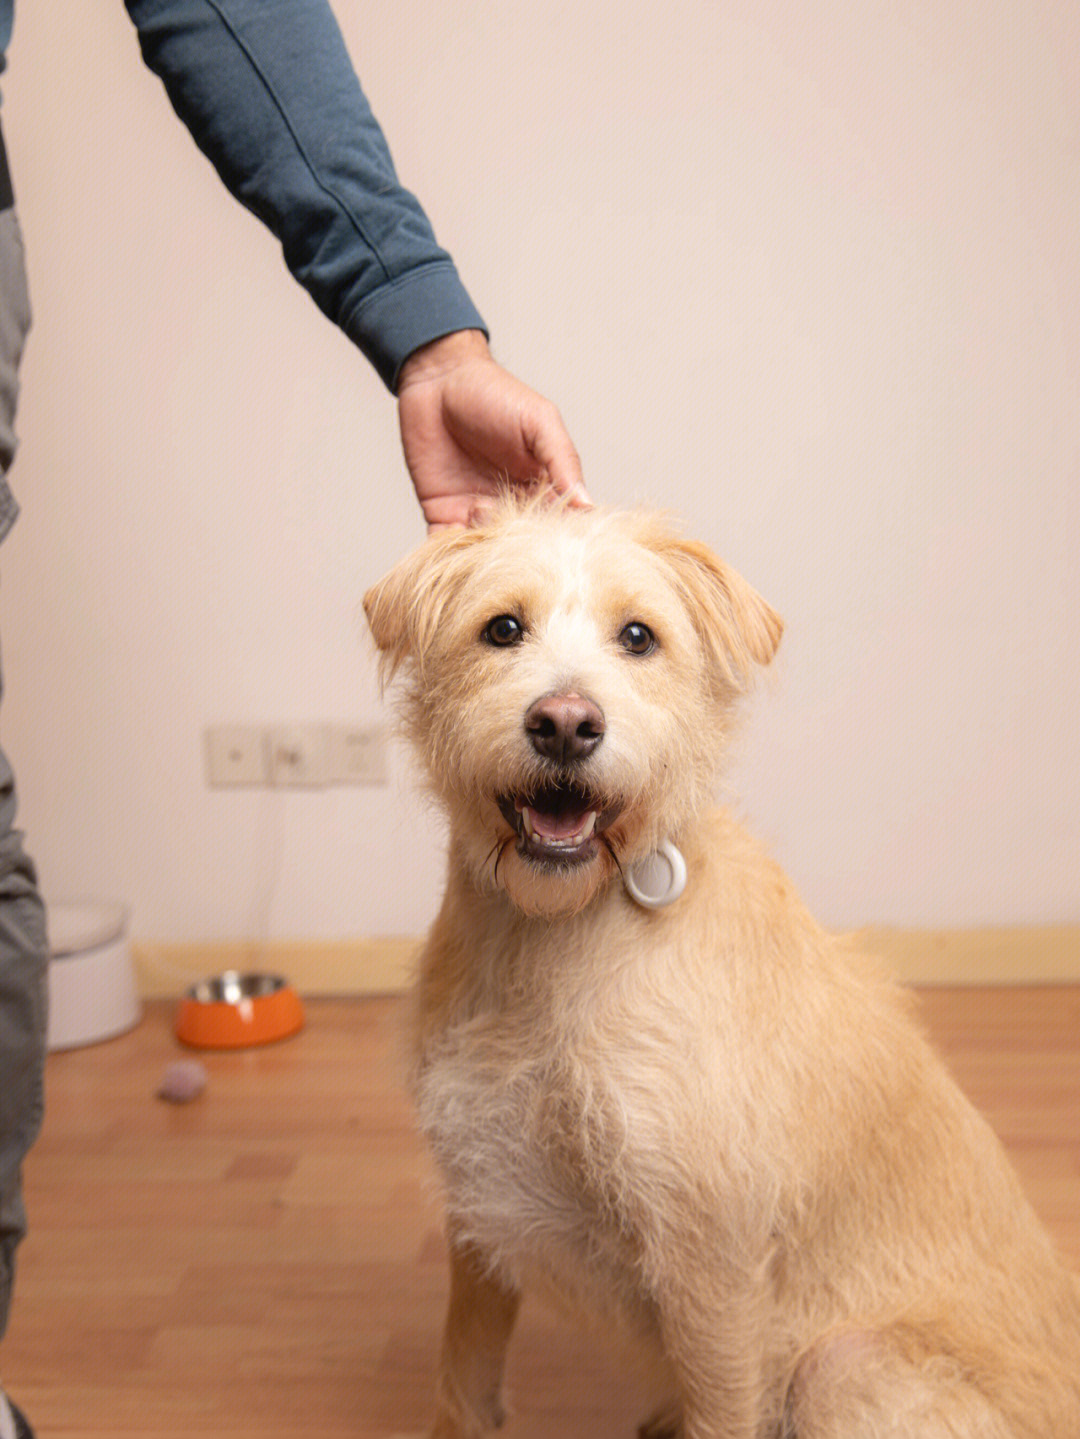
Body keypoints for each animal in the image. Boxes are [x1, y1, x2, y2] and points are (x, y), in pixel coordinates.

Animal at [363, 497, 1080, 1439]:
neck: (553, 938)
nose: (566, 722)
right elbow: (463, 1378)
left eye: (639, 635)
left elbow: (722, 1404)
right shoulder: (482, 1200)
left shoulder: (711, 1263)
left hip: (840, 1368)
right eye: (502, 628)